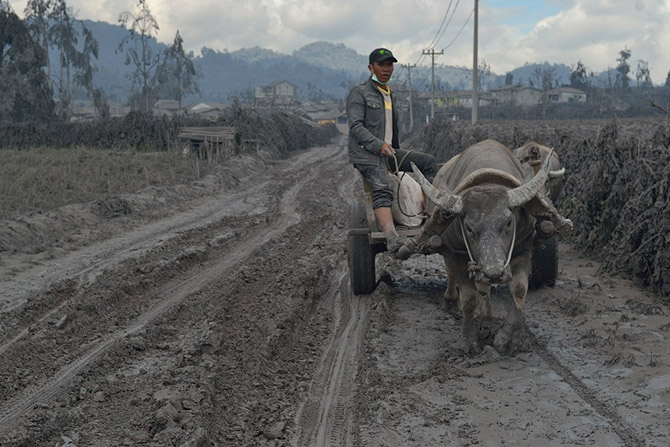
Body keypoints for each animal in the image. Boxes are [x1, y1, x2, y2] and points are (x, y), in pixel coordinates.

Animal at [414, 138, 572, 356]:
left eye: (508, 222)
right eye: (469, 228)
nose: (495, 272)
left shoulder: (523, 251)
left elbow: (519, 289)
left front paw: (509, 339)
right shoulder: (457, 256)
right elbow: (469, 298)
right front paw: (468, 340)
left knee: (484, 287)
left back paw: (487, 321)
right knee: (455, 276)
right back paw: (451, 302)